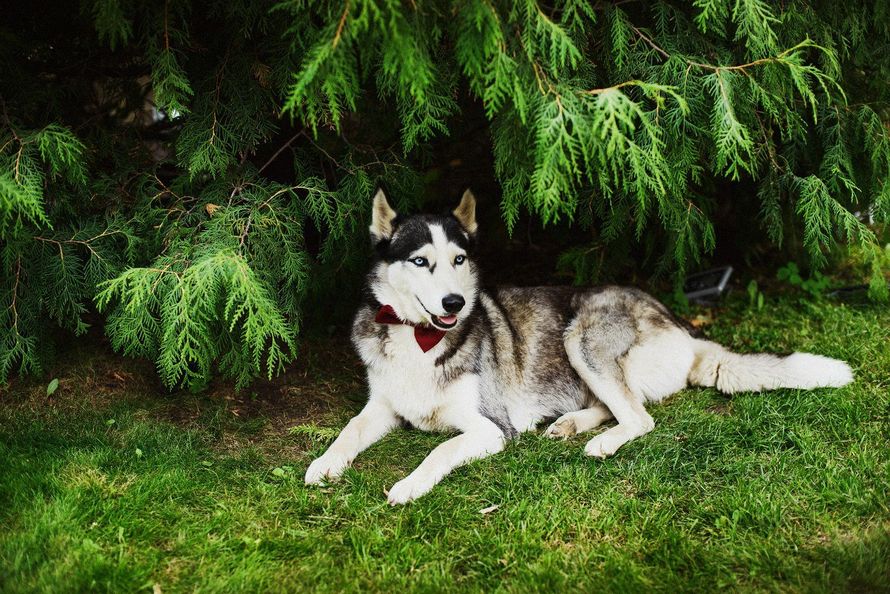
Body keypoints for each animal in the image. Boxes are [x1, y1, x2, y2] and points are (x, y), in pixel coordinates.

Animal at [306, 187, 852, 502]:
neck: (419, 338)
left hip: (582, 337)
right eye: (421, 261)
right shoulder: (382, 406)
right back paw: (571, 424)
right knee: (618, 406)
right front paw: (324, 464)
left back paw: (601, 441)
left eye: (459, 259)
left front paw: (408, 484)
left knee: (639, 416)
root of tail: (680, 325)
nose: (456, 302)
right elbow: (349, 430)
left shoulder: (490, 429)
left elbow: (440, 451)